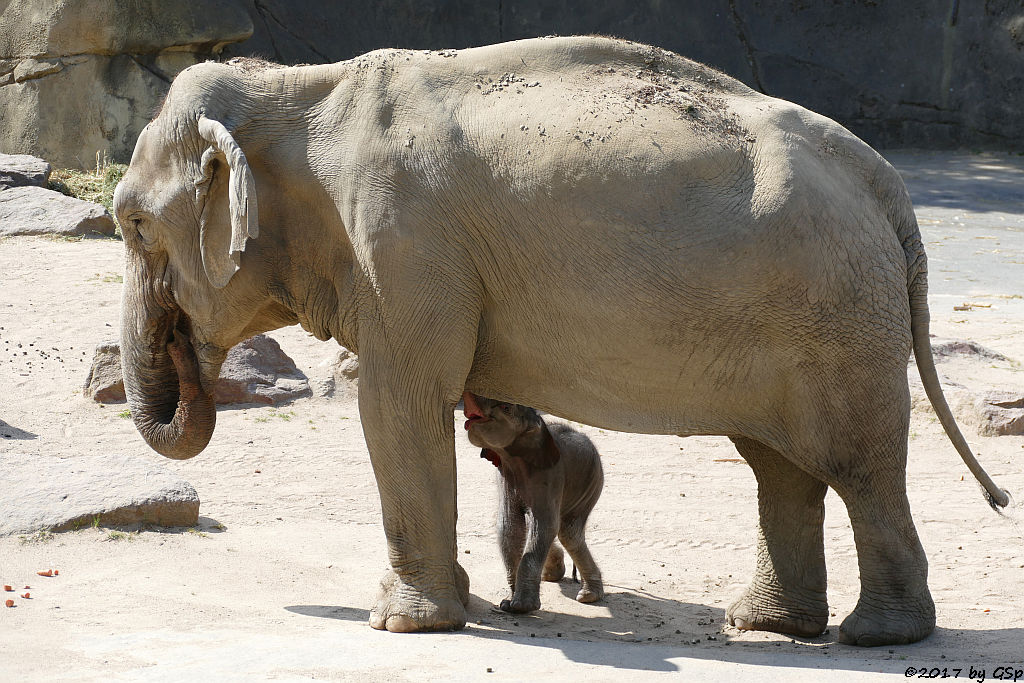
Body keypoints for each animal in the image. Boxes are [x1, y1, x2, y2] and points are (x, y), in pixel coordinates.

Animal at [462, 395, 598, 614]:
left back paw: (588, 596)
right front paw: (508, 603)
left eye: (506, 407)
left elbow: (545, 526)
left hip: (590, 483)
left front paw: (521, 607)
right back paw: (552, 575)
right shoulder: (505, 474)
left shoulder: (550, 474)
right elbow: (509, 526)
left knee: (568, 533)